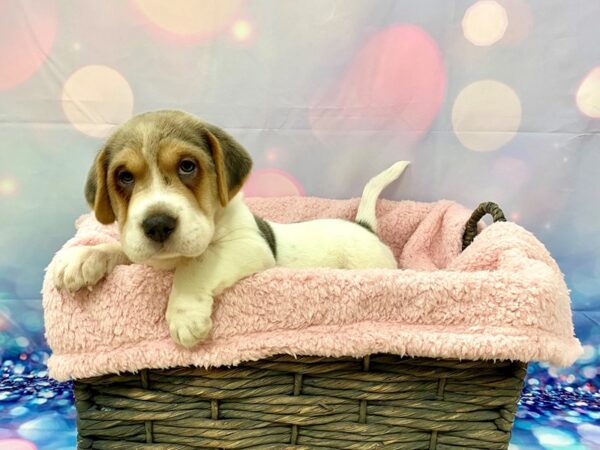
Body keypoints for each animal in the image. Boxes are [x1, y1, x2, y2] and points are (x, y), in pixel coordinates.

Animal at [52, 110, 408, 348]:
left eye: (187, 166)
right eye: (124, 176)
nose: (157, 224)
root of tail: (363, 226)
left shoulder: (249, 245)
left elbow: (199, 263)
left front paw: (184, 313)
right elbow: (118, 248)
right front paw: (82, 259)